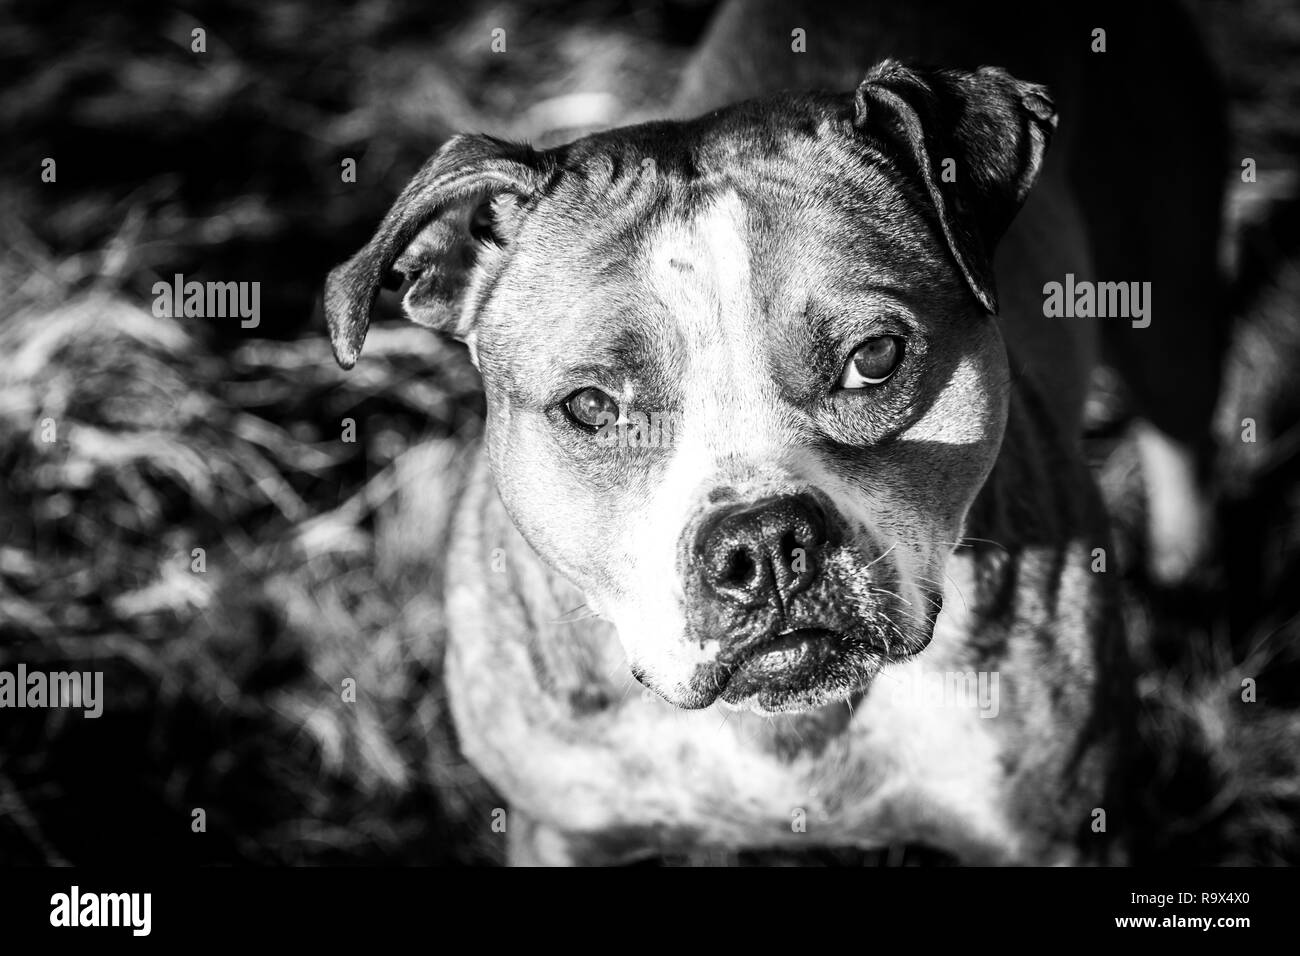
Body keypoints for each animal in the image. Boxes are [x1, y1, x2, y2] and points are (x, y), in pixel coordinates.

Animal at [319, 0, 1222, 868]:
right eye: (593, 407)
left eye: (874, 359)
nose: (762, 542)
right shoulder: (560, 832)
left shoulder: (1065, 833)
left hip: (1167, 303)